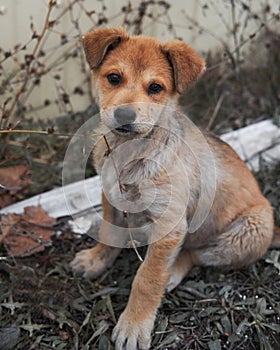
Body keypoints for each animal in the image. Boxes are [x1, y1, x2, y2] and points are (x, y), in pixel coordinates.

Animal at [70, 28, 280, 350]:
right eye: (114, 78)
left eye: (155, 87)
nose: (124, 116)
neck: (131, 153)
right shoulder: (111, 197)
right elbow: (107, 234)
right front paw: (96, 260)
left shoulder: (170, 226)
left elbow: (147, 278)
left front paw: (134, 325)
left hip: (243, 234)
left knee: (195, 254)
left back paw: (173, 271)